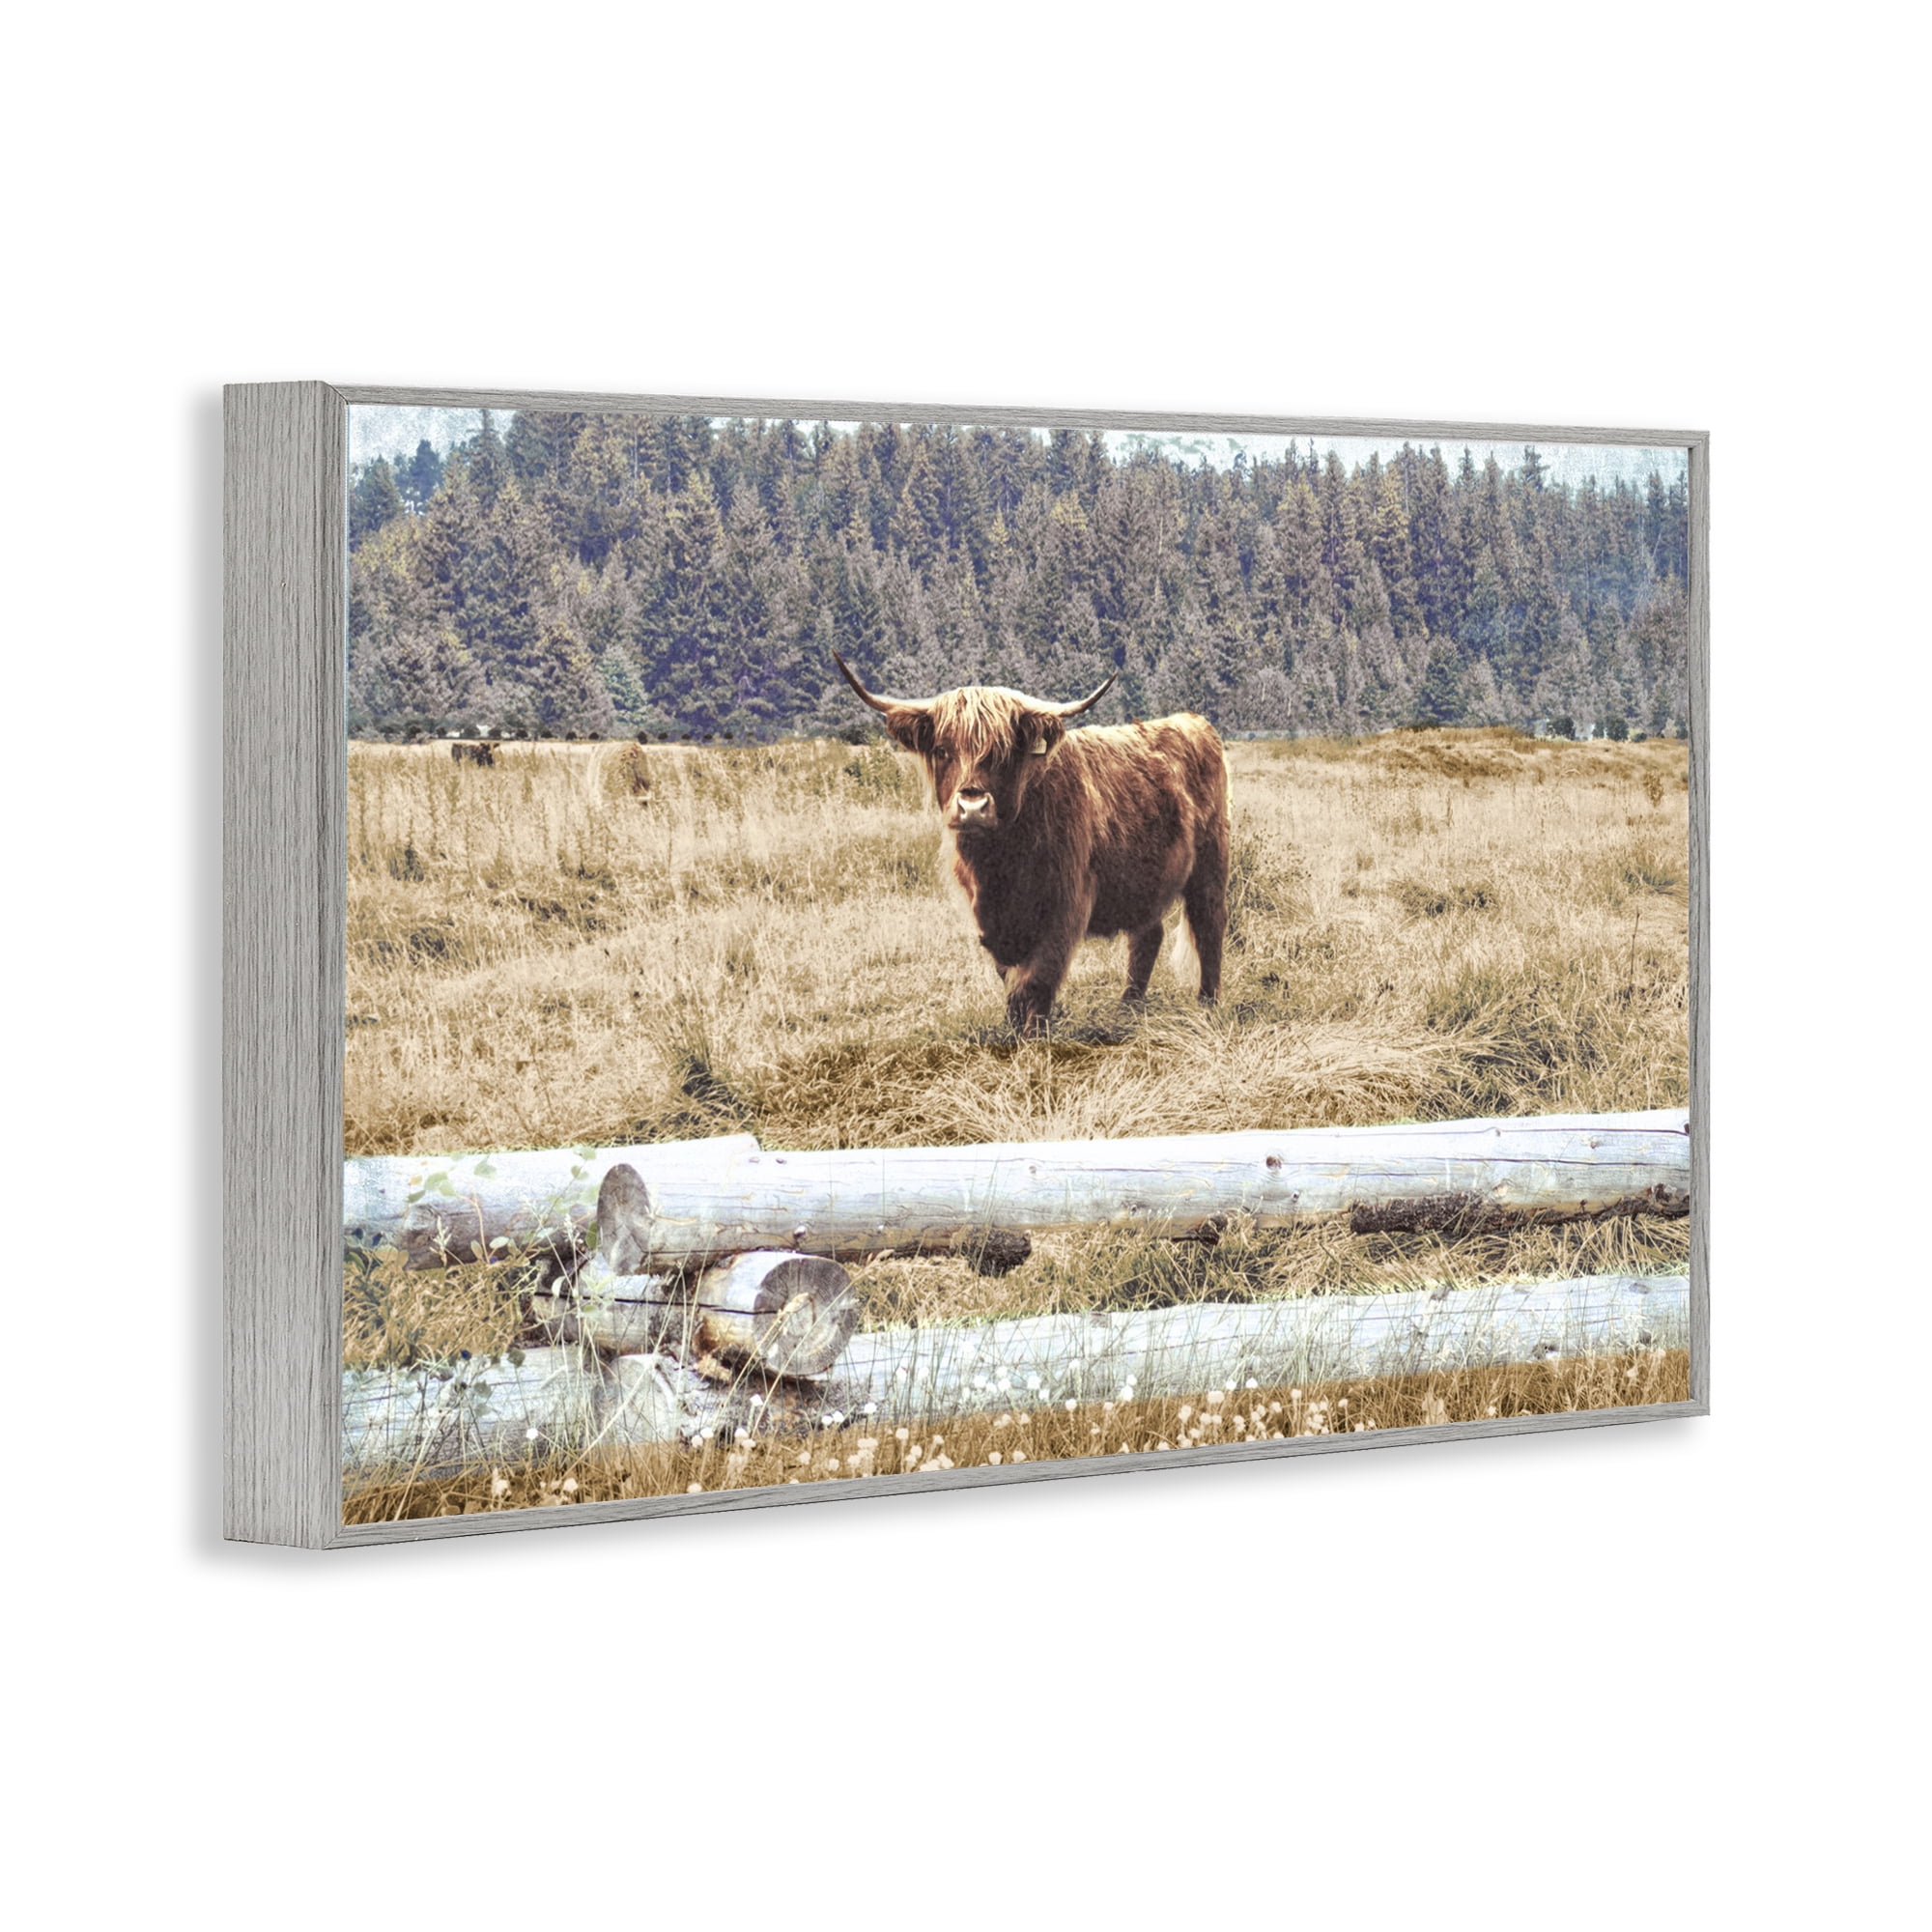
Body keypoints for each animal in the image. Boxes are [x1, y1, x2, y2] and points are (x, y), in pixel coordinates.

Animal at [832, 653, 1229, 1034]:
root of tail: (1193, 721)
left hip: (1211, 863)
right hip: (1144, 879)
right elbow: (1009, 978)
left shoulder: (1066, 905)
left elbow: (1037, 978)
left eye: (1004, 752)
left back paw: (1207, 1005)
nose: (972, 807)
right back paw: (1128, 1008)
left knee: (1209, 925)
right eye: (943, 750)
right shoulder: (989, 918)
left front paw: (1033, 1035)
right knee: (1147, 935)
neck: (1000, 865)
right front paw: (1012, 1027)